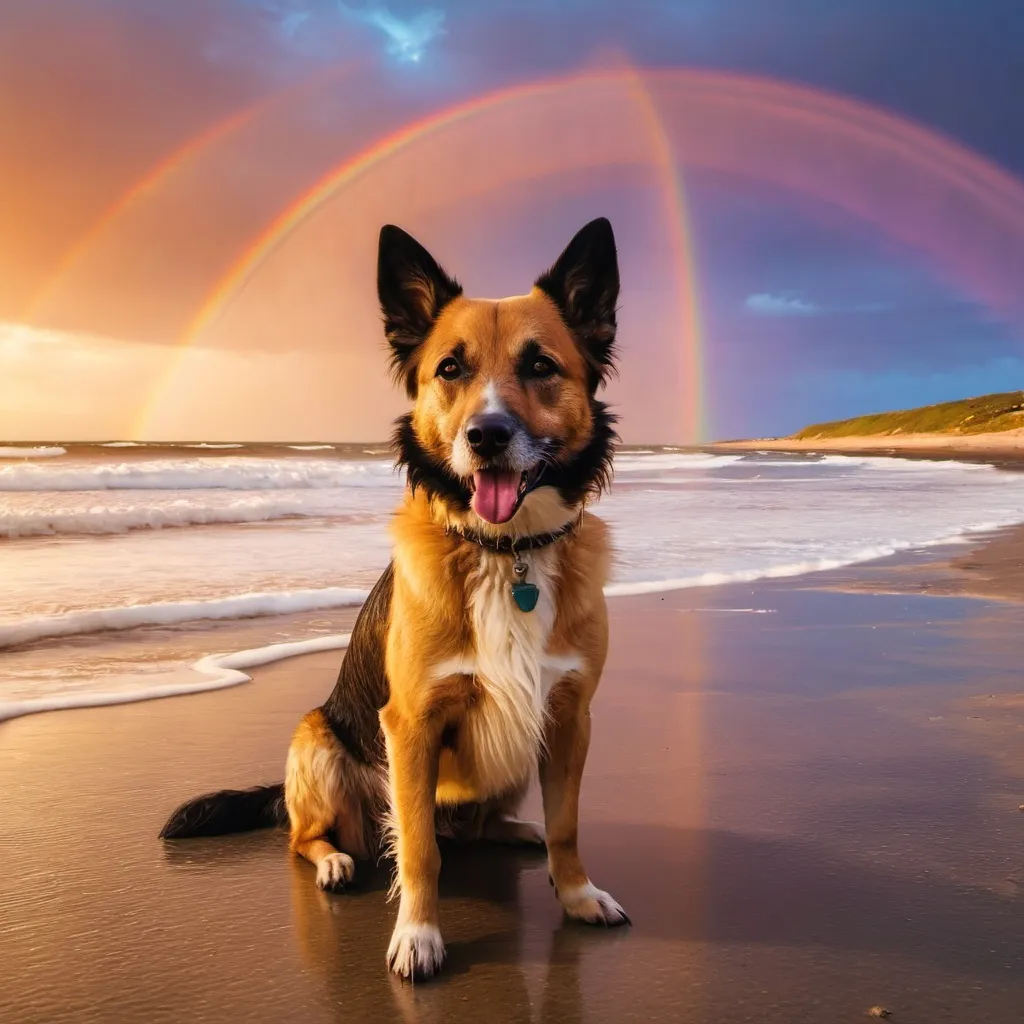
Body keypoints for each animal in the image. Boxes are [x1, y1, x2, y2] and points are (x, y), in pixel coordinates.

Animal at [160, 216, 626, 974]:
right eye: (451, 369)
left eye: (540, 366)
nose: (486, 436)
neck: (506, 553)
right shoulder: (411, 725)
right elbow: (419, 851)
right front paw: (419, 934)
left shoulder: (567, 718)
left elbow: (568, 826)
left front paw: (578, 892)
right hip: (318, 739)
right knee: (309, 837)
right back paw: (333, 861)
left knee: (473, 827)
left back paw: (510, 829)